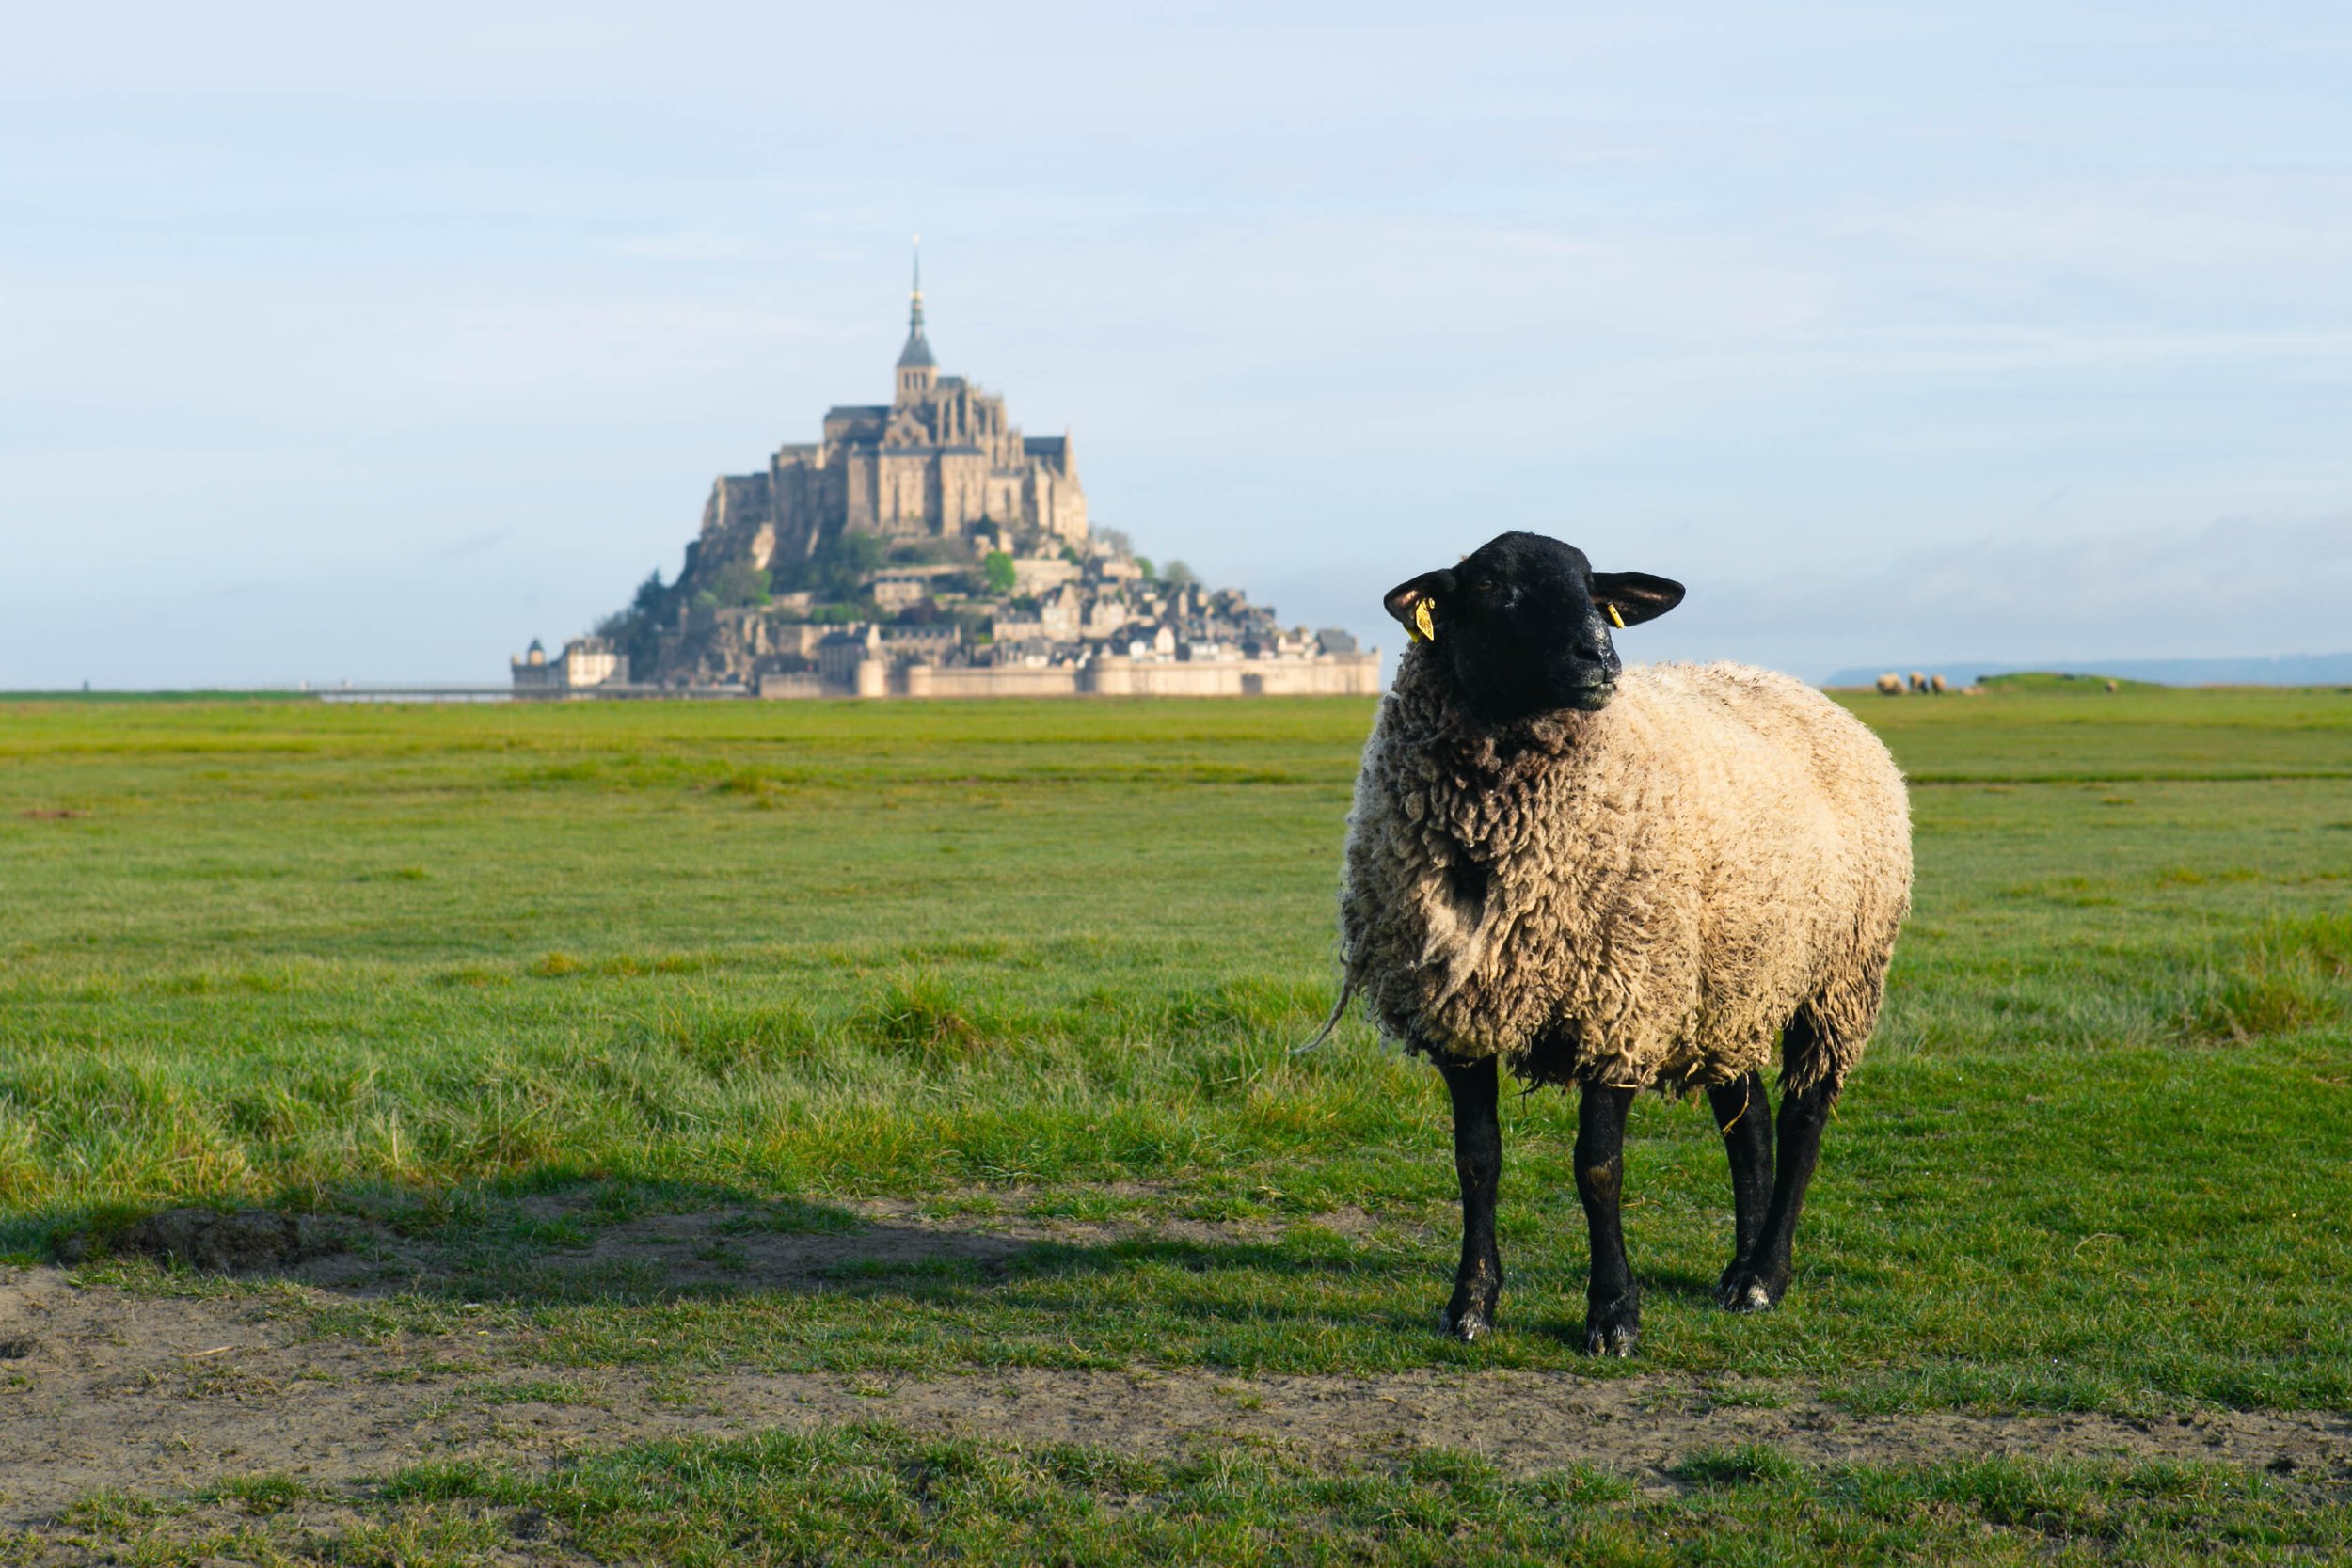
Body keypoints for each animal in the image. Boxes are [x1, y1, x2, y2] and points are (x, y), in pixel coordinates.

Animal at [1333, 531, 1911, 1356]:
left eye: (1591, 587)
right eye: (1493, 587)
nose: (1600, 655)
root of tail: (1815, 696)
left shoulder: (1620, 1002)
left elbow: (1597, 1167)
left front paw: (1612, 1314)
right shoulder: (1460, 1014)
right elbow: (1476, 1160)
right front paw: (1470, 1304)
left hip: (1839, 976)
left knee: (1804, 1118)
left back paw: (1766, 1276)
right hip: (1729, 977)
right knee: (1749, 1122)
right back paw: (1738, 1270)